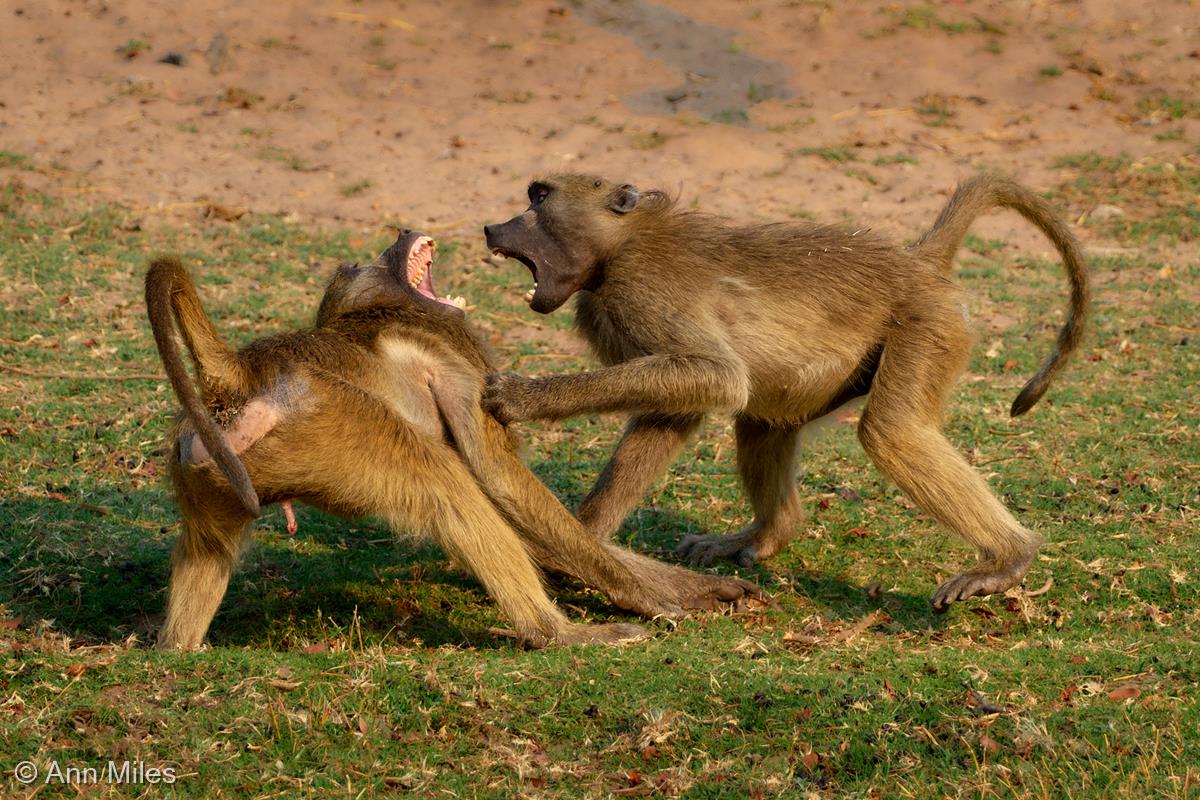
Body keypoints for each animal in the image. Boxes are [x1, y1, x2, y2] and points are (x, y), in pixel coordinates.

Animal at [146, 231, 763, 650]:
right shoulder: (458, 371)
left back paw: (179, 651)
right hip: (336, 426)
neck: (380, 312)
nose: (399, 232)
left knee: (208, 550)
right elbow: (501, 483)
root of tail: (237, 375)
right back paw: (559, 635)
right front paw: (652, 600)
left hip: (211, 467)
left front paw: (700, 587)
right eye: (361, 262)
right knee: (448, 488)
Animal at [482, 174, 1089, 610]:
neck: (620, 244)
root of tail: (916, 259)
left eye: (539, 198)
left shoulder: (642, 289)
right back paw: (768, 534)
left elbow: (715, 376)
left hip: (928, 323)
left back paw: (1006, 561)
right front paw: (580, 543)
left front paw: (521, 399)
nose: (492, 228)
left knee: (890, 432)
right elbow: (680, 407)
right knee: (761, 422)